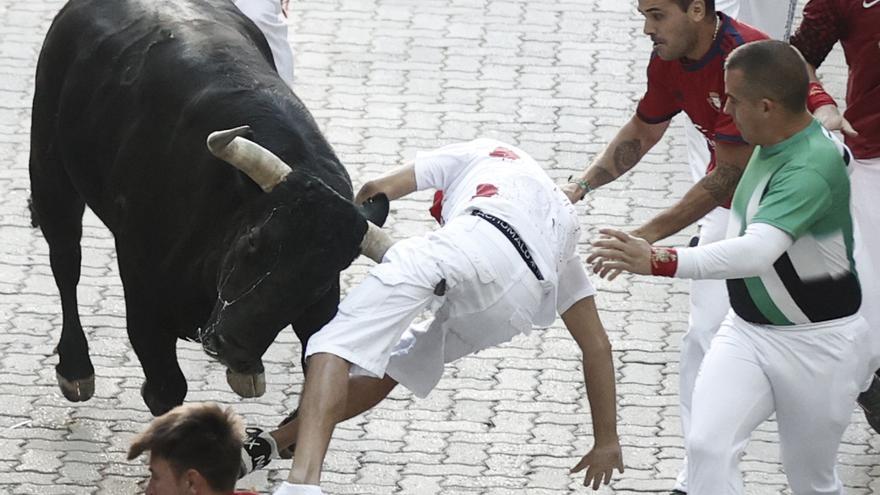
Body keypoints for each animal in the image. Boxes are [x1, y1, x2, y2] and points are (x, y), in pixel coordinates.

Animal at [29, 0, 392, 416]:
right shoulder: (143, 294)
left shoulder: (321, 308)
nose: (231, 345)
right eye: (253, 239)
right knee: (65, 262)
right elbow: (166, 388)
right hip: (50, 173)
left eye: (321, 276)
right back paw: (75, 370)